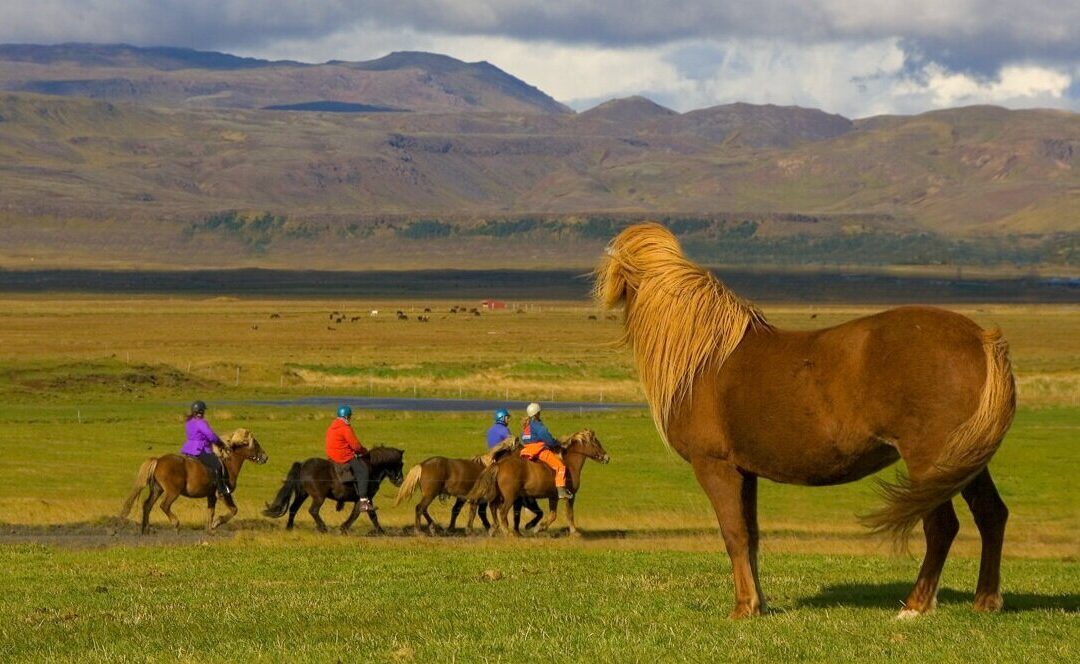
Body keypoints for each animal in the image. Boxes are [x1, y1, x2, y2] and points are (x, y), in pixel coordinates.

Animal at [118, 431, 267, 535]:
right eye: (255, 444)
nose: (265, 457)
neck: (227, 462)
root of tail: (158, 460)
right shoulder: (224, 494)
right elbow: (233, 510)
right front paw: (216, 524)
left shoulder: (211, 496)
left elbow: (211, 512)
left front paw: (210, 529)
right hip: (172, 492)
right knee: (164, 506)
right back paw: (176, 524)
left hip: (157, 489)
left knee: (147, 505)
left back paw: (146, 530)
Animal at [261, 446, 406, 535]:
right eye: (400, 464)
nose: (400, 481)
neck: (371, 468)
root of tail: (302, 465)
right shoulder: (367, 497)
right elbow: (368, 514)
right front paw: (380, 531)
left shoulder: (360, 499)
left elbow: (359, 513)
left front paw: (344, 528)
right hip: (318, 497)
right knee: (313, 511)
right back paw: (323, 528)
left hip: (302, 494)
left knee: (293, 508)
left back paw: (289, 528)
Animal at [468, 431, 613, 539]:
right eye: (596, 443)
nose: (607, 458)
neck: (569, 463)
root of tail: (499, 464)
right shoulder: (570, 496)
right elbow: (569, 514)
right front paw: (573, 531)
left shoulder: (553, 497)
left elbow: (552, 515)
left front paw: (536, 527)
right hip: (510, 497)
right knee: (502, 512)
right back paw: (508, 532)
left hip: (500, 495)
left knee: (493, 507)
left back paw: (494, 529)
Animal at [596, 223, 1015, 617]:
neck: (704, 358)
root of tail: (980, 337)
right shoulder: (745, 471)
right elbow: (751, 535)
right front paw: (759, 604)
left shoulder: (715, 466)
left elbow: (733, 534)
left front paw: (743, 607)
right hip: (965, 460)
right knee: (991, 515)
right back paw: (986, 601)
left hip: (930, 459)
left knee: (941, 526)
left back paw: (914, 606)